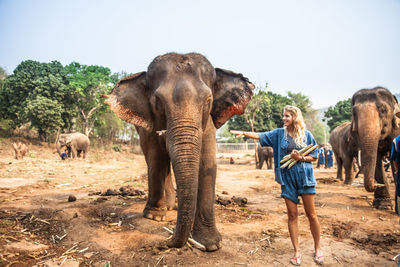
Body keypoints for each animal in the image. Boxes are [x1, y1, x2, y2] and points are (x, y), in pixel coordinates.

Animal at [103, 51, 253, 251]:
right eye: (158, 101)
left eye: (208, 101)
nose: (165, 243)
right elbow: (156, 157)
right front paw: (155, 217)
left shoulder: (208, 123)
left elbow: (207, 163)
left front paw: (211, 245)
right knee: (156, 161)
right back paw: (163, 209)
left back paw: (171, 206)